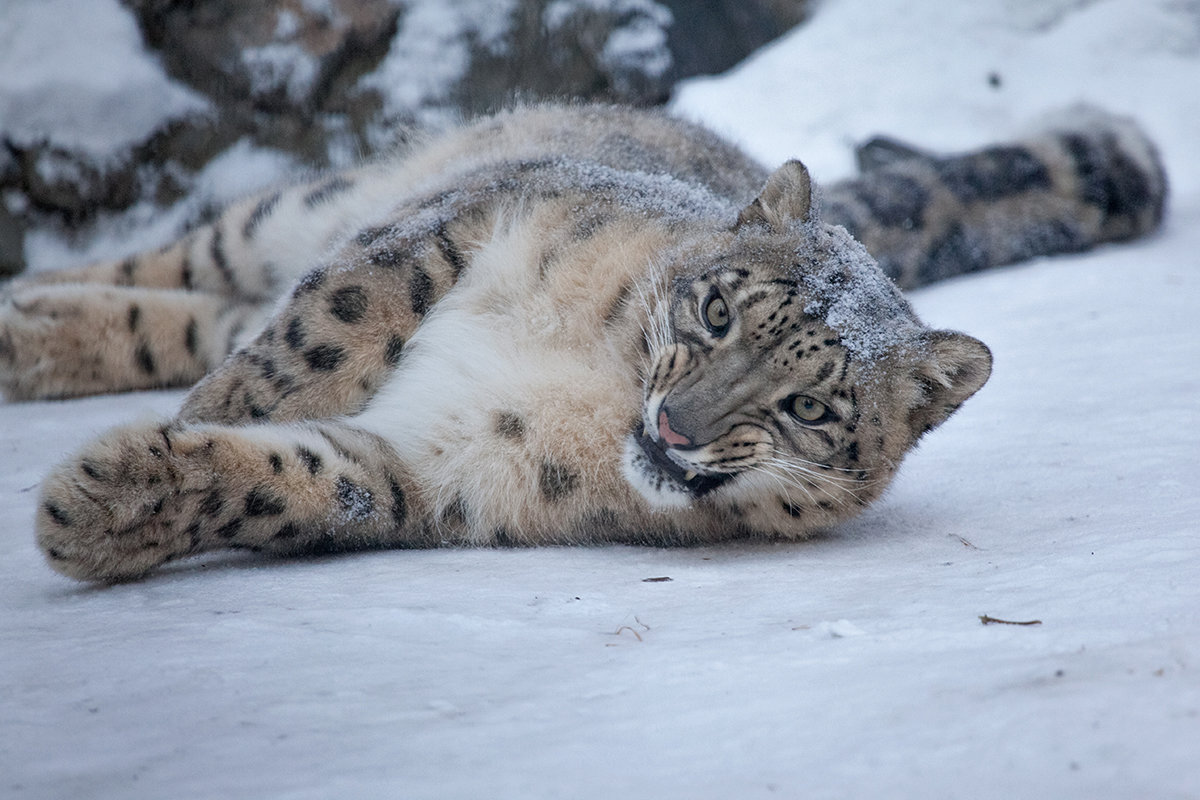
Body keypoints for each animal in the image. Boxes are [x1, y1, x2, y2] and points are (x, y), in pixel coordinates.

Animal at [7, 104, 1161, 582]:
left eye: (807, 406)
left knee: (183, 319)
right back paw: (25, 301)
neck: (598, 383)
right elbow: (329, 333)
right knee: (189, 270)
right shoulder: (480, 211)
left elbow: (311, 480)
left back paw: (28, 335)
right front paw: (210, 415)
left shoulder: (445, 466)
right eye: (717, 312)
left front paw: (104, 504)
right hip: (301, 210)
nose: (675, 427)